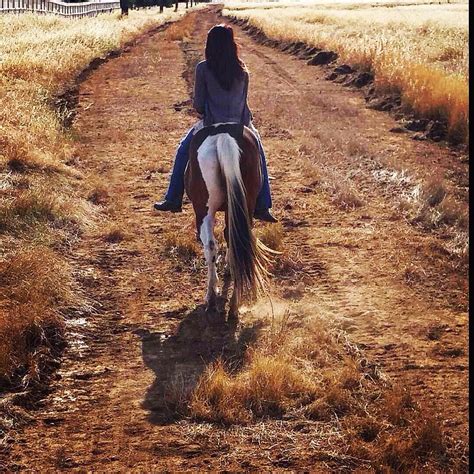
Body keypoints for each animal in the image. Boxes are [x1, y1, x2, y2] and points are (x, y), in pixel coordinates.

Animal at [184, 124, 270, 316]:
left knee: (210, 245)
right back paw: (234, 305)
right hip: (243, 205)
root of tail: (224, 136)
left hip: (203, 210)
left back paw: (211, 298)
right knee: (236, 240)